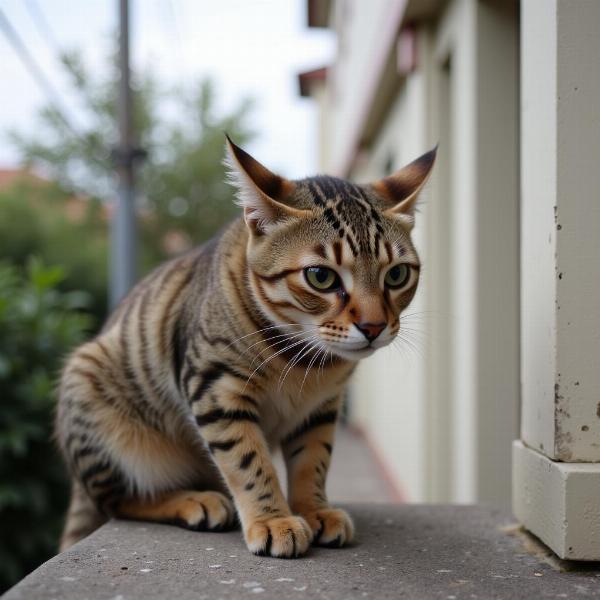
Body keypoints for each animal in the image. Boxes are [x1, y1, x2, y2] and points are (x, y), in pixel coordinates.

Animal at [55, 137, 436, 556]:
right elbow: (248, 461)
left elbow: (312, 461)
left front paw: (314, 510)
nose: (373, 326)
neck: (303, 361)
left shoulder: (320, 408)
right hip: (92, 399)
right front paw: (273, 520)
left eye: (397, 275)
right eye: (320, 276)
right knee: (120, 501)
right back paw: (196, 500)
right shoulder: (216, 389)